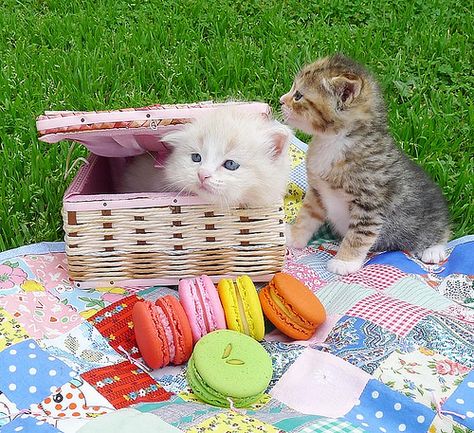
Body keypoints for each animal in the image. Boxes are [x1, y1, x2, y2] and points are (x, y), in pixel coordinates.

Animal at [280, 53, 450, 274]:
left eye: (298, 95)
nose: (280, 100)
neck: (333, 142)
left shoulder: (370, 204)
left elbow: (359, 235)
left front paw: (344, 262)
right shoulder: (317, 192)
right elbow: (306, 216)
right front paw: (293, 236)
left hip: (427, 219)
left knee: (440, 231)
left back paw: (434, 250)